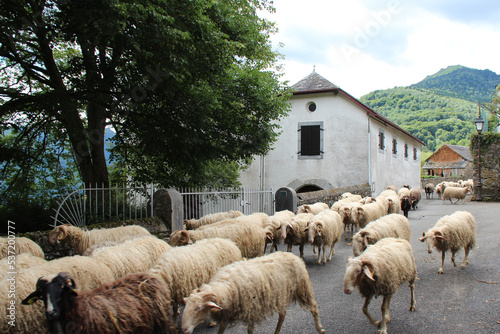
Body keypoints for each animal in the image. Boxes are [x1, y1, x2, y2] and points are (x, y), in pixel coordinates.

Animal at [182, 252, 326, 334]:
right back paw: (276, 332)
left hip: (302, 288)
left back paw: (320, 328)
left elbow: (250, 330)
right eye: (186, 306)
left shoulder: (252, 309)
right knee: (283, 314)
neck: (225, 288)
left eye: (198, 308)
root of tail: (293, 255)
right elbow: (220, 330)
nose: (184, 329)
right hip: (279, 294)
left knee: (314, 308)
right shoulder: (226, 314)